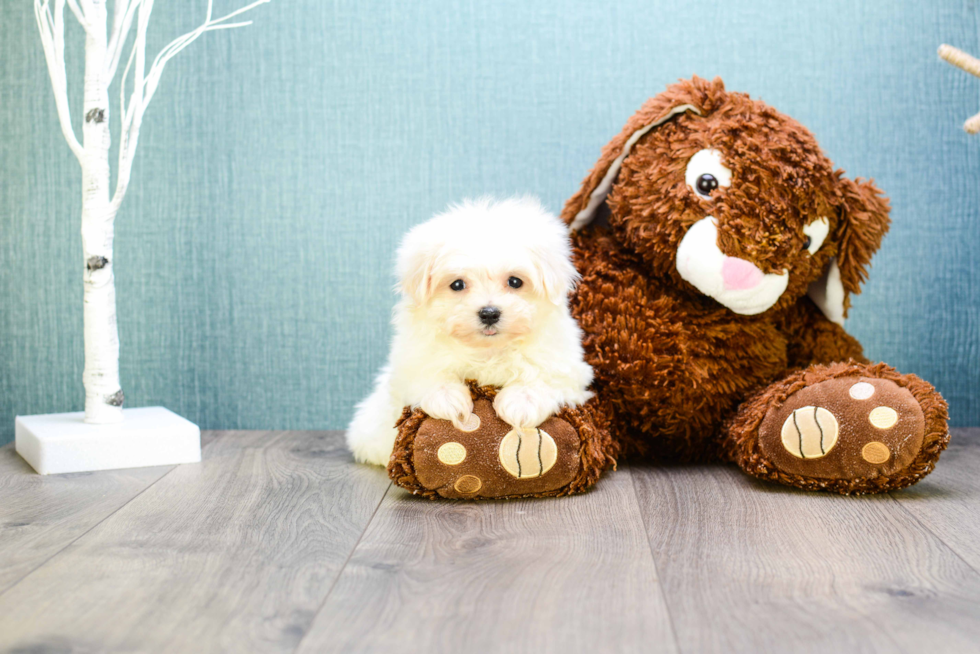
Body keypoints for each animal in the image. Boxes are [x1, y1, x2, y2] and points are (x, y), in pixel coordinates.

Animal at [352, 196, 596, 466]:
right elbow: (426, 374)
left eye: (515, 281)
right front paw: (447, 398)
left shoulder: (567, 367)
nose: (489, 313)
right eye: (457, 284)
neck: (487, 351)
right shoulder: (410, 363)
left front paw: (523, 402)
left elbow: (545, 375)